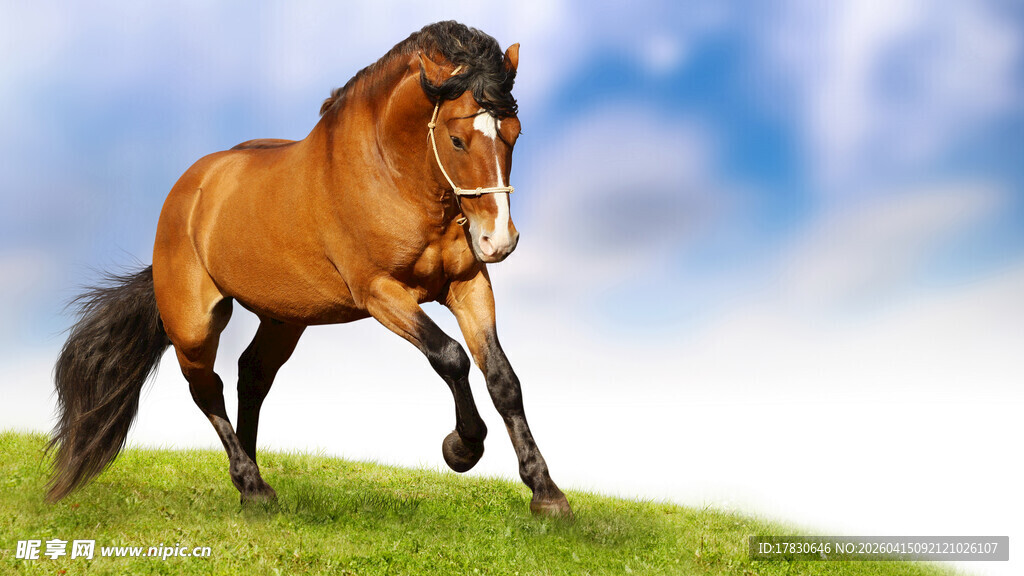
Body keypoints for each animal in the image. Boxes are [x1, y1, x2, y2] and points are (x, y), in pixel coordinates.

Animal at [47, 21, 572, 519]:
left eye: (514, 133)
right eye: (458, 139)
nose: (498, 241)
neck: (392, 176)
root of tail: (188, 191)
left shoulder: (467, 285)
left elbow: (503, 378)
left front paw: (547, 495)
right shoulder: (380, 292)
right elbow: (450, 356)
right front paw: (461, 448)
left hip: (284, 317)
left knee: (252, 377)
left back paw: (250, 485)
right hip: (194, 324)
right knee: (207, 389)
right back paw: (253, 486)